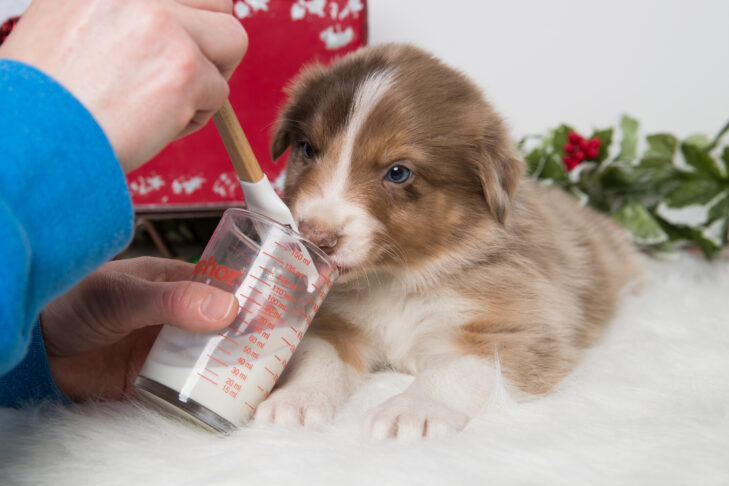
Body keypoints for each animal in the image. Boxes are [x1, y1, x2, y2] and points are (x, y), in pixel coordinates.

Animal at [253, 43, 640, 440]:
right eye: (308, 150)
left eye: (398, 173)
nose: (315, 236)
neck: (398, 281)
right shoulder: (333, 322)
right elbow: (318, 356)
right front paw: (297, 400)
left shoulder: (525, 332)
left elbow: (456, 371)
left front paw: (412, 410)